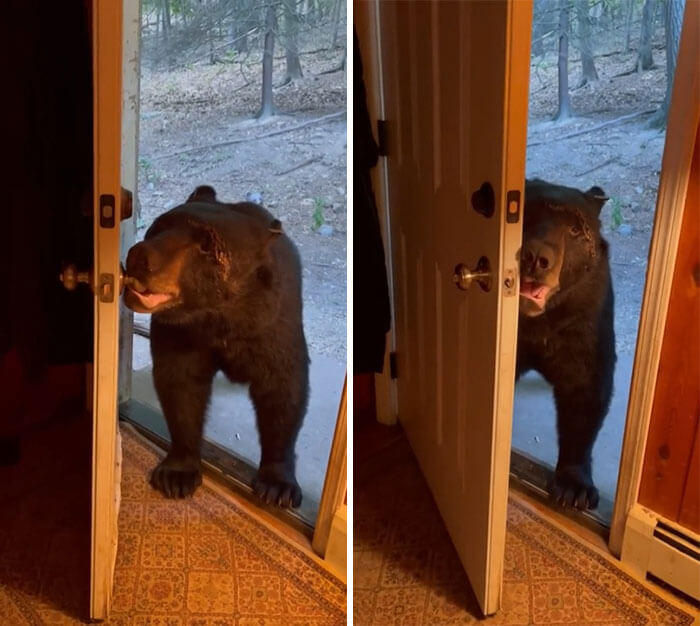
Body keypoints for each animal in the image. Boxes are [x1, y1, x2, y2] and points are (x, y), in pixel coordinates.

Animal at [123, 185, 308, 508]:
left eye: (208, 247)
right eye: (159, 225)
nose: (140, 257)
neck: (219, 318)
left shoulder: (273, 327)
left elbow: (282, 391)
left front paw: (277, 485)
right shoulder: (181, 334)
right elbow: (181, 386)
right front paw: (177, 473)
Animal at [516, 178, 616, 510]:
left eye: (575, 229)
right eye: (527, 213)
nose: (535, 257)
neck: (539, 321)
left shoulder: (585, 319)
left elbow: (584, 392)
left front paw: (575, 488)